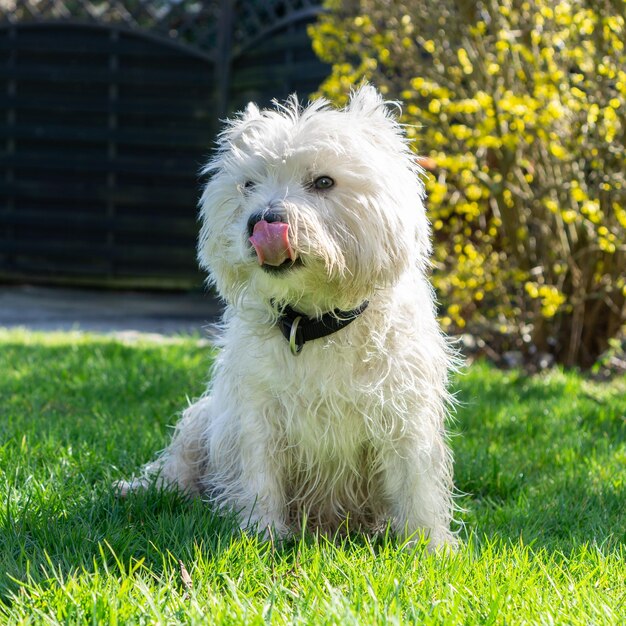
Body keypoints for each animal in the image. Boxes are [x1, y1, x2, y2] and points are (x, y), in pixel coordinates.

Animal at [119, 86, 456, 544]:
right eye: (248, 184)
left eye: (324, 182)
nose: (261, 221)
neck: (315, 320)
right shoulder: (258, 410)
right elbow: (260, 473)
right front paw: (260, 533)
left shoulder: (403, 412)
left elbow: (413, 479)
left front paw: (428, 544)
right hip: (203, 418)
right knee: (175, 470)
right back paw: (138, 489)